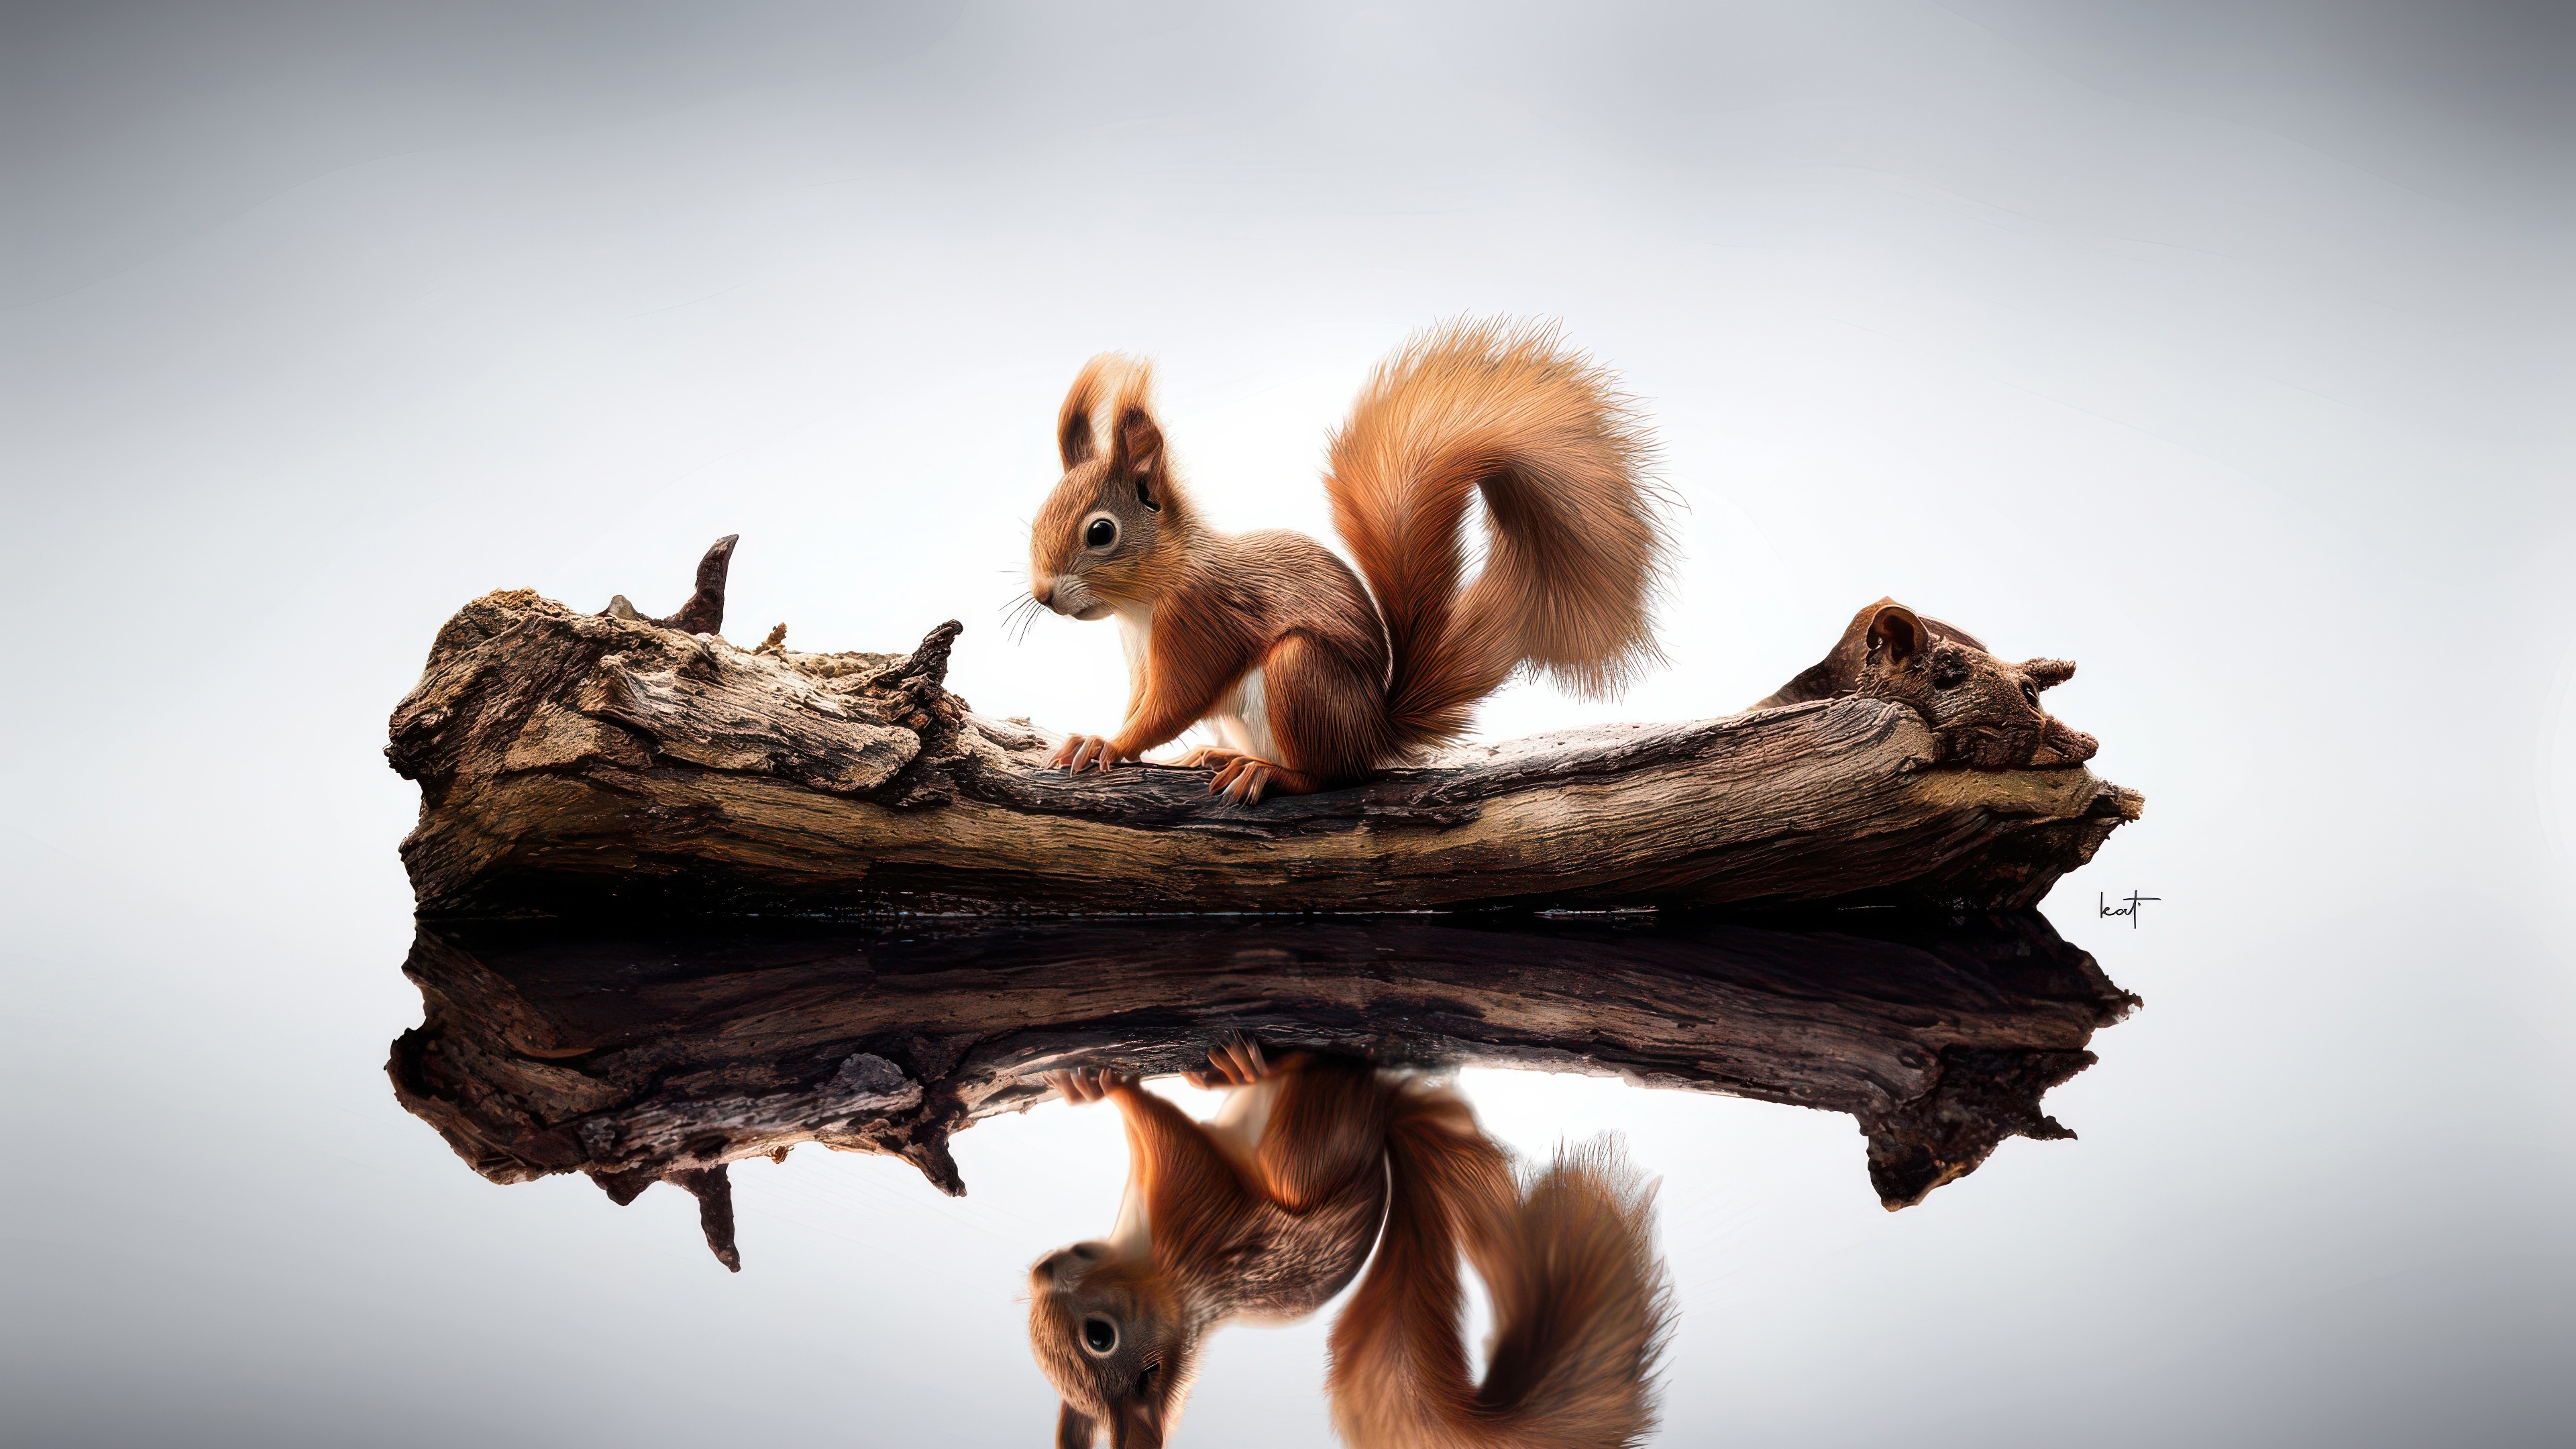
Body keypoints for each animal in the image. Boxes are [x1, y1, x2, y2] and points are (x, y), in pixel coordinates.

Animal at [1025, 320, 1673, 803]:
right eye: (1035, 519)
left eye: (1101, 533)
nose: (1042, 595)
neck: (1143, 603)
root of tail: (1373, 732)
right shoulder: (1141, 657)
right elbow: (1140, 700)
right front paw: (1098, 737)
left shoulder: (1201, 622)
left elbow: (1172, 703)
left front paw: (1109, 745)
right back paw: (1220, 752)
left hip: (1302, 674)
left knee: (1329, 776)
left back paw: (1267, 773)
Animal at [1027, 1038, 1670, 1449]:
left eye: (1099, 1338)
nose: (1040, 1272)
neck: (1162, 1277)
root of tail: (1382, 1143)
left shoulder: (1194, 1210)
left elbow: (1168, 1134)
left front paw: (1102, 1087)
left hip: (1298, 1160)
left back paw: (1245, 1070)